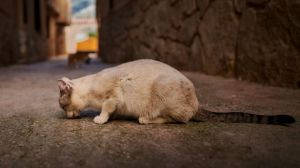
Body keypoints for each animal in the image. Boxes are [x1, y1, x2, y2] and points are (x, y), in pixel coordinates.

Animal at [58, 59, 296, 124]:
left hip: (161, 91)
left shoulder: (115, 93)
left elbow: (107, 107)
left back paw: (145, 118)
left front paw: (100, 118)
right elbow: (112, 111)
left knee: (176, 119)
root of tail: (197, 103)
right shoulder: (117, 102)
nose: (67, 116)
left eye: (63, 105)